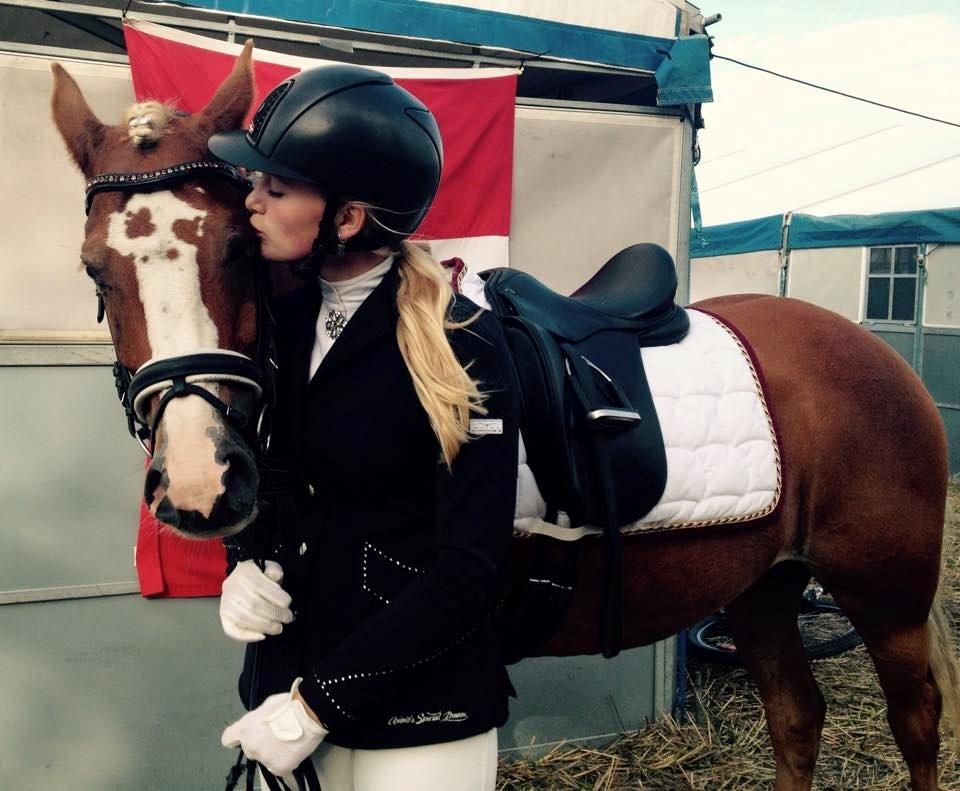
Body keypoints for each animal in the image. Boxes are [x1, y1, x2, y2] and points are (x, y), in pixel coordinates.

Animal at [52, 45, 959, 790]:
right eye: (96, 270)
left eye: (239, 246)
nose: (200, 483)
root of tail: (872, 352)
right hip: (763, 587)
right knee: (797, 717)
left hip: (887, 597)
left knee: (916, 725)